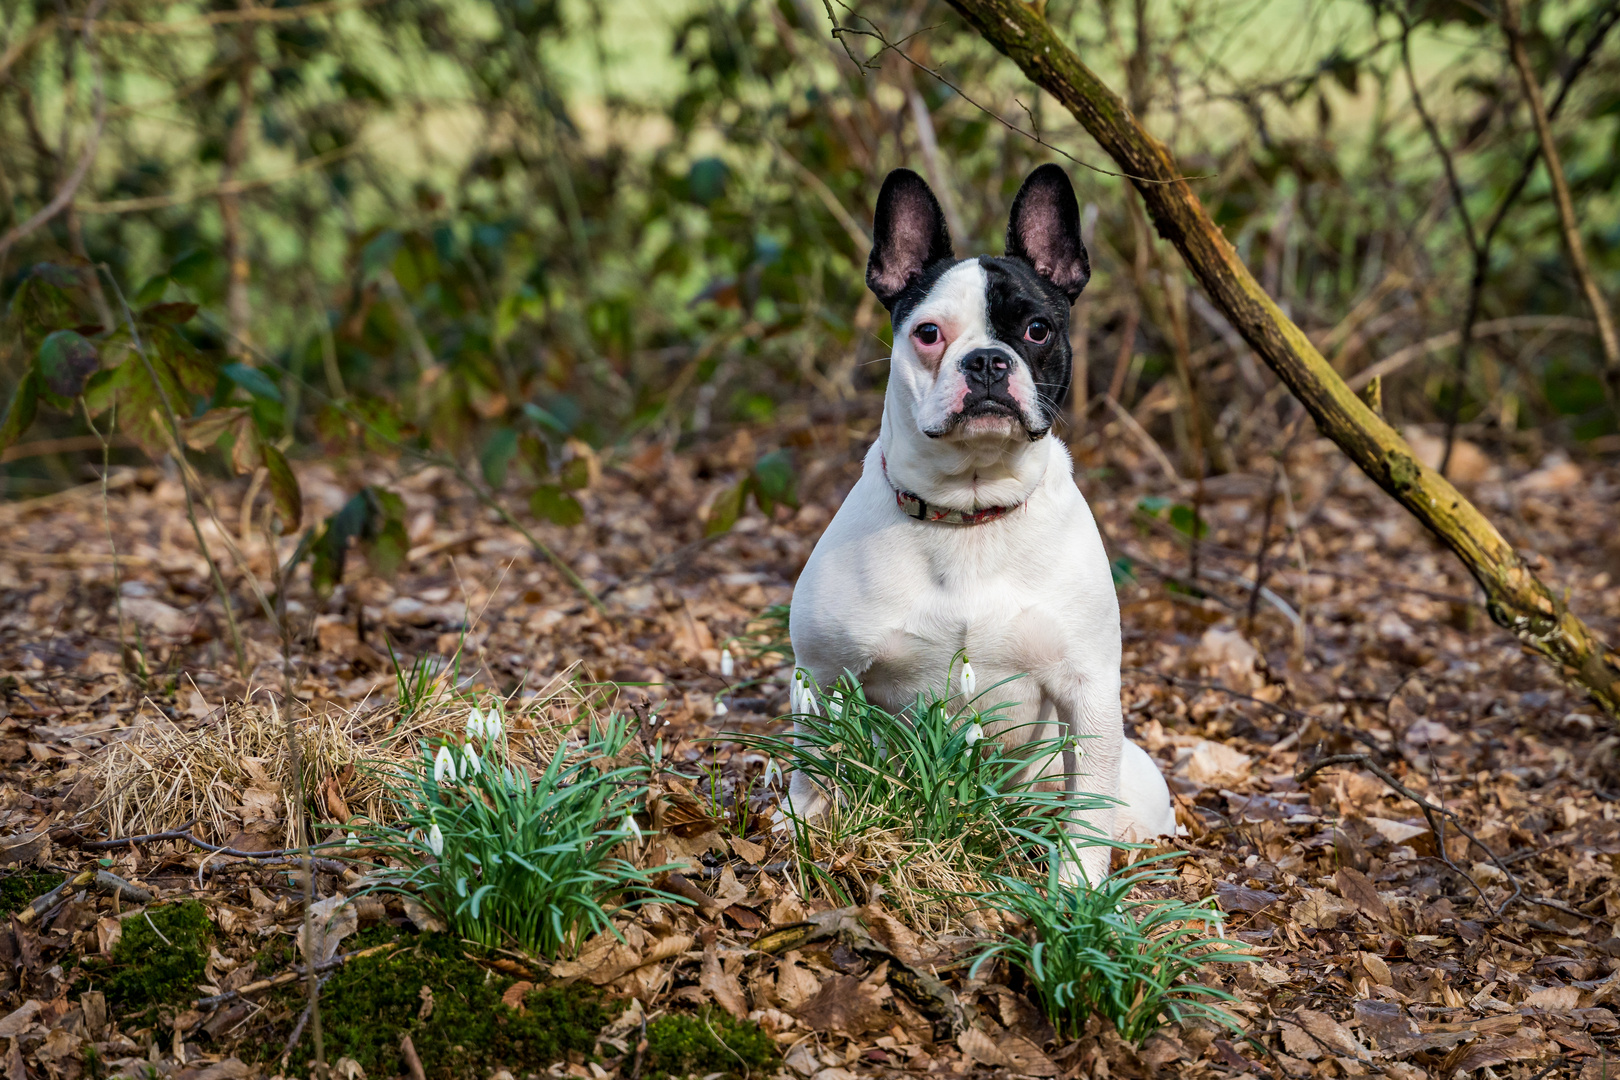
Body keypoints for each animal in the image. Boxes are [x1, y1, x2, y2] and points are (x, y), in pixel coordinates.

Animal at [780, 162, 1172, 887]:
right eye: (929, 333)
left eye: (1038, 329)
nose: (987, 360)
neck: (969, 510)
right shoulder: (823, 674)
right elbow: (817, 767)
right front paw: (805, 834)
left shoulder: (1088, 689)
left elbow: (1086, 804)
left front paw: (1076, 886)